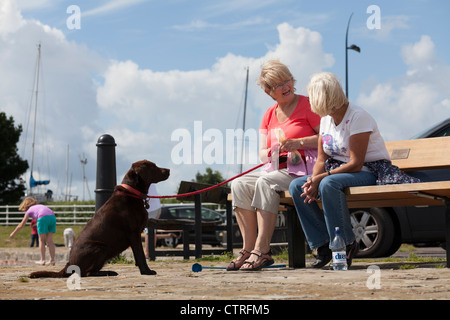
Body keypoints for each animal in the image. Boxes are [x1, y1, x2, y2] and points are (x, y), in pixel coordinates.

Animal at [29, 160, 169, 278]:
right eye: (153, 166)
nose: (168, 170)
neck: (132, 193)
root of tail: (68, 264)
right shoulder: (134, 233)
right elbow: (140, 256)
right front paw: (147, 271)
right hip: (100, 247)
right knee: (86, 273)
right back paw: (108, 272)